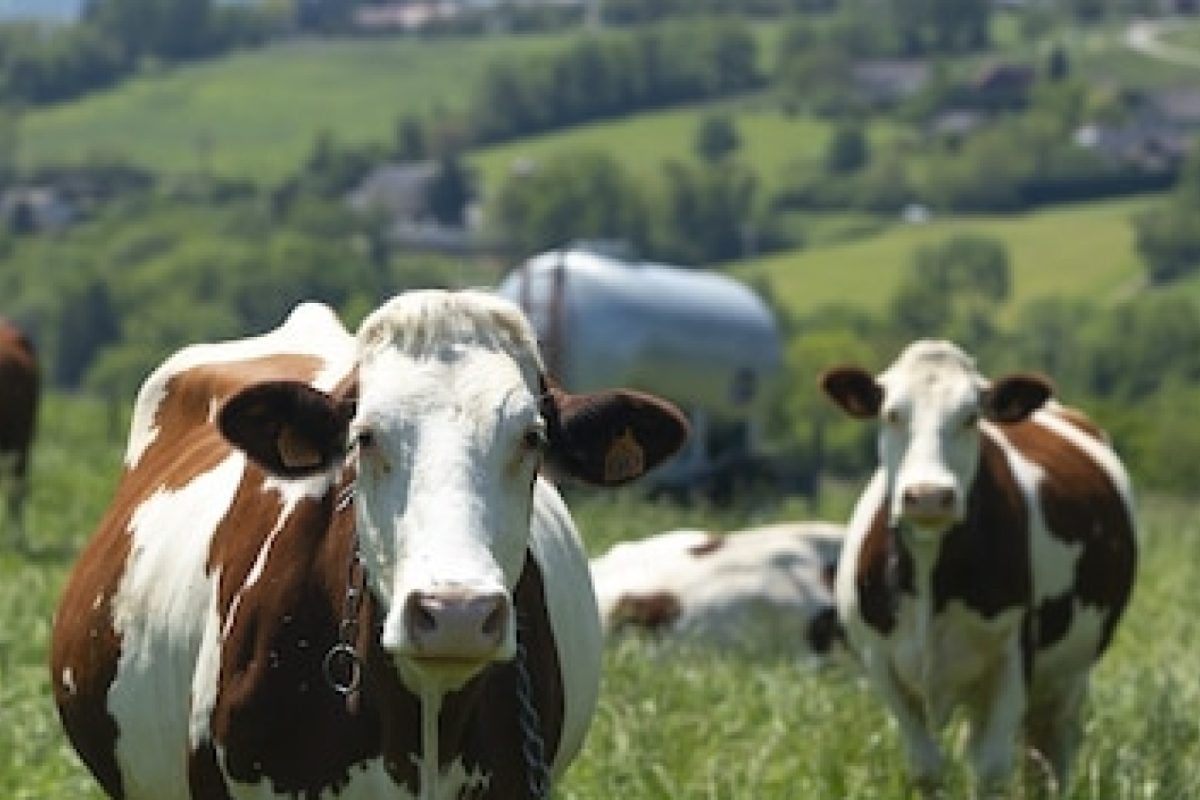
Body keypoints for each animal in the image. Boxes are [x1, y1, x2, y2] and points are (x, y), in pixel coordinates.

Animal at [820, 339, 1136, 798]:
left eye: (971, 417)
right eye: (891, 413)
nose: (929, 495)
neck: (930, 575)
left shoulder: (1013, 656)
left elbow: (990, 768)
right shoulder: (879, 661)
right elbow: (926, 768)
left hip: (1069, 675)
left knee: (1050, 752)